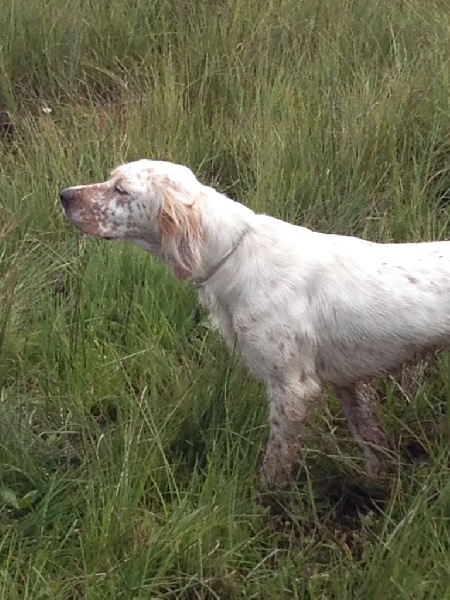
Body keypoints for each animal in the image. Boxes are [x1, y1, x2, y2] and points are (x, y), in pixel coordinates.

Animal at [60, 159, 450, 488]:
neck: (231, 254)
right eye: (111, 179)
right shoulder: (349, 383)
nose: (64, 195)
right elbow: (371, 441)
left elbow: (274, 466)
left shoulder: (293, 388)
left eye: (121, 189)